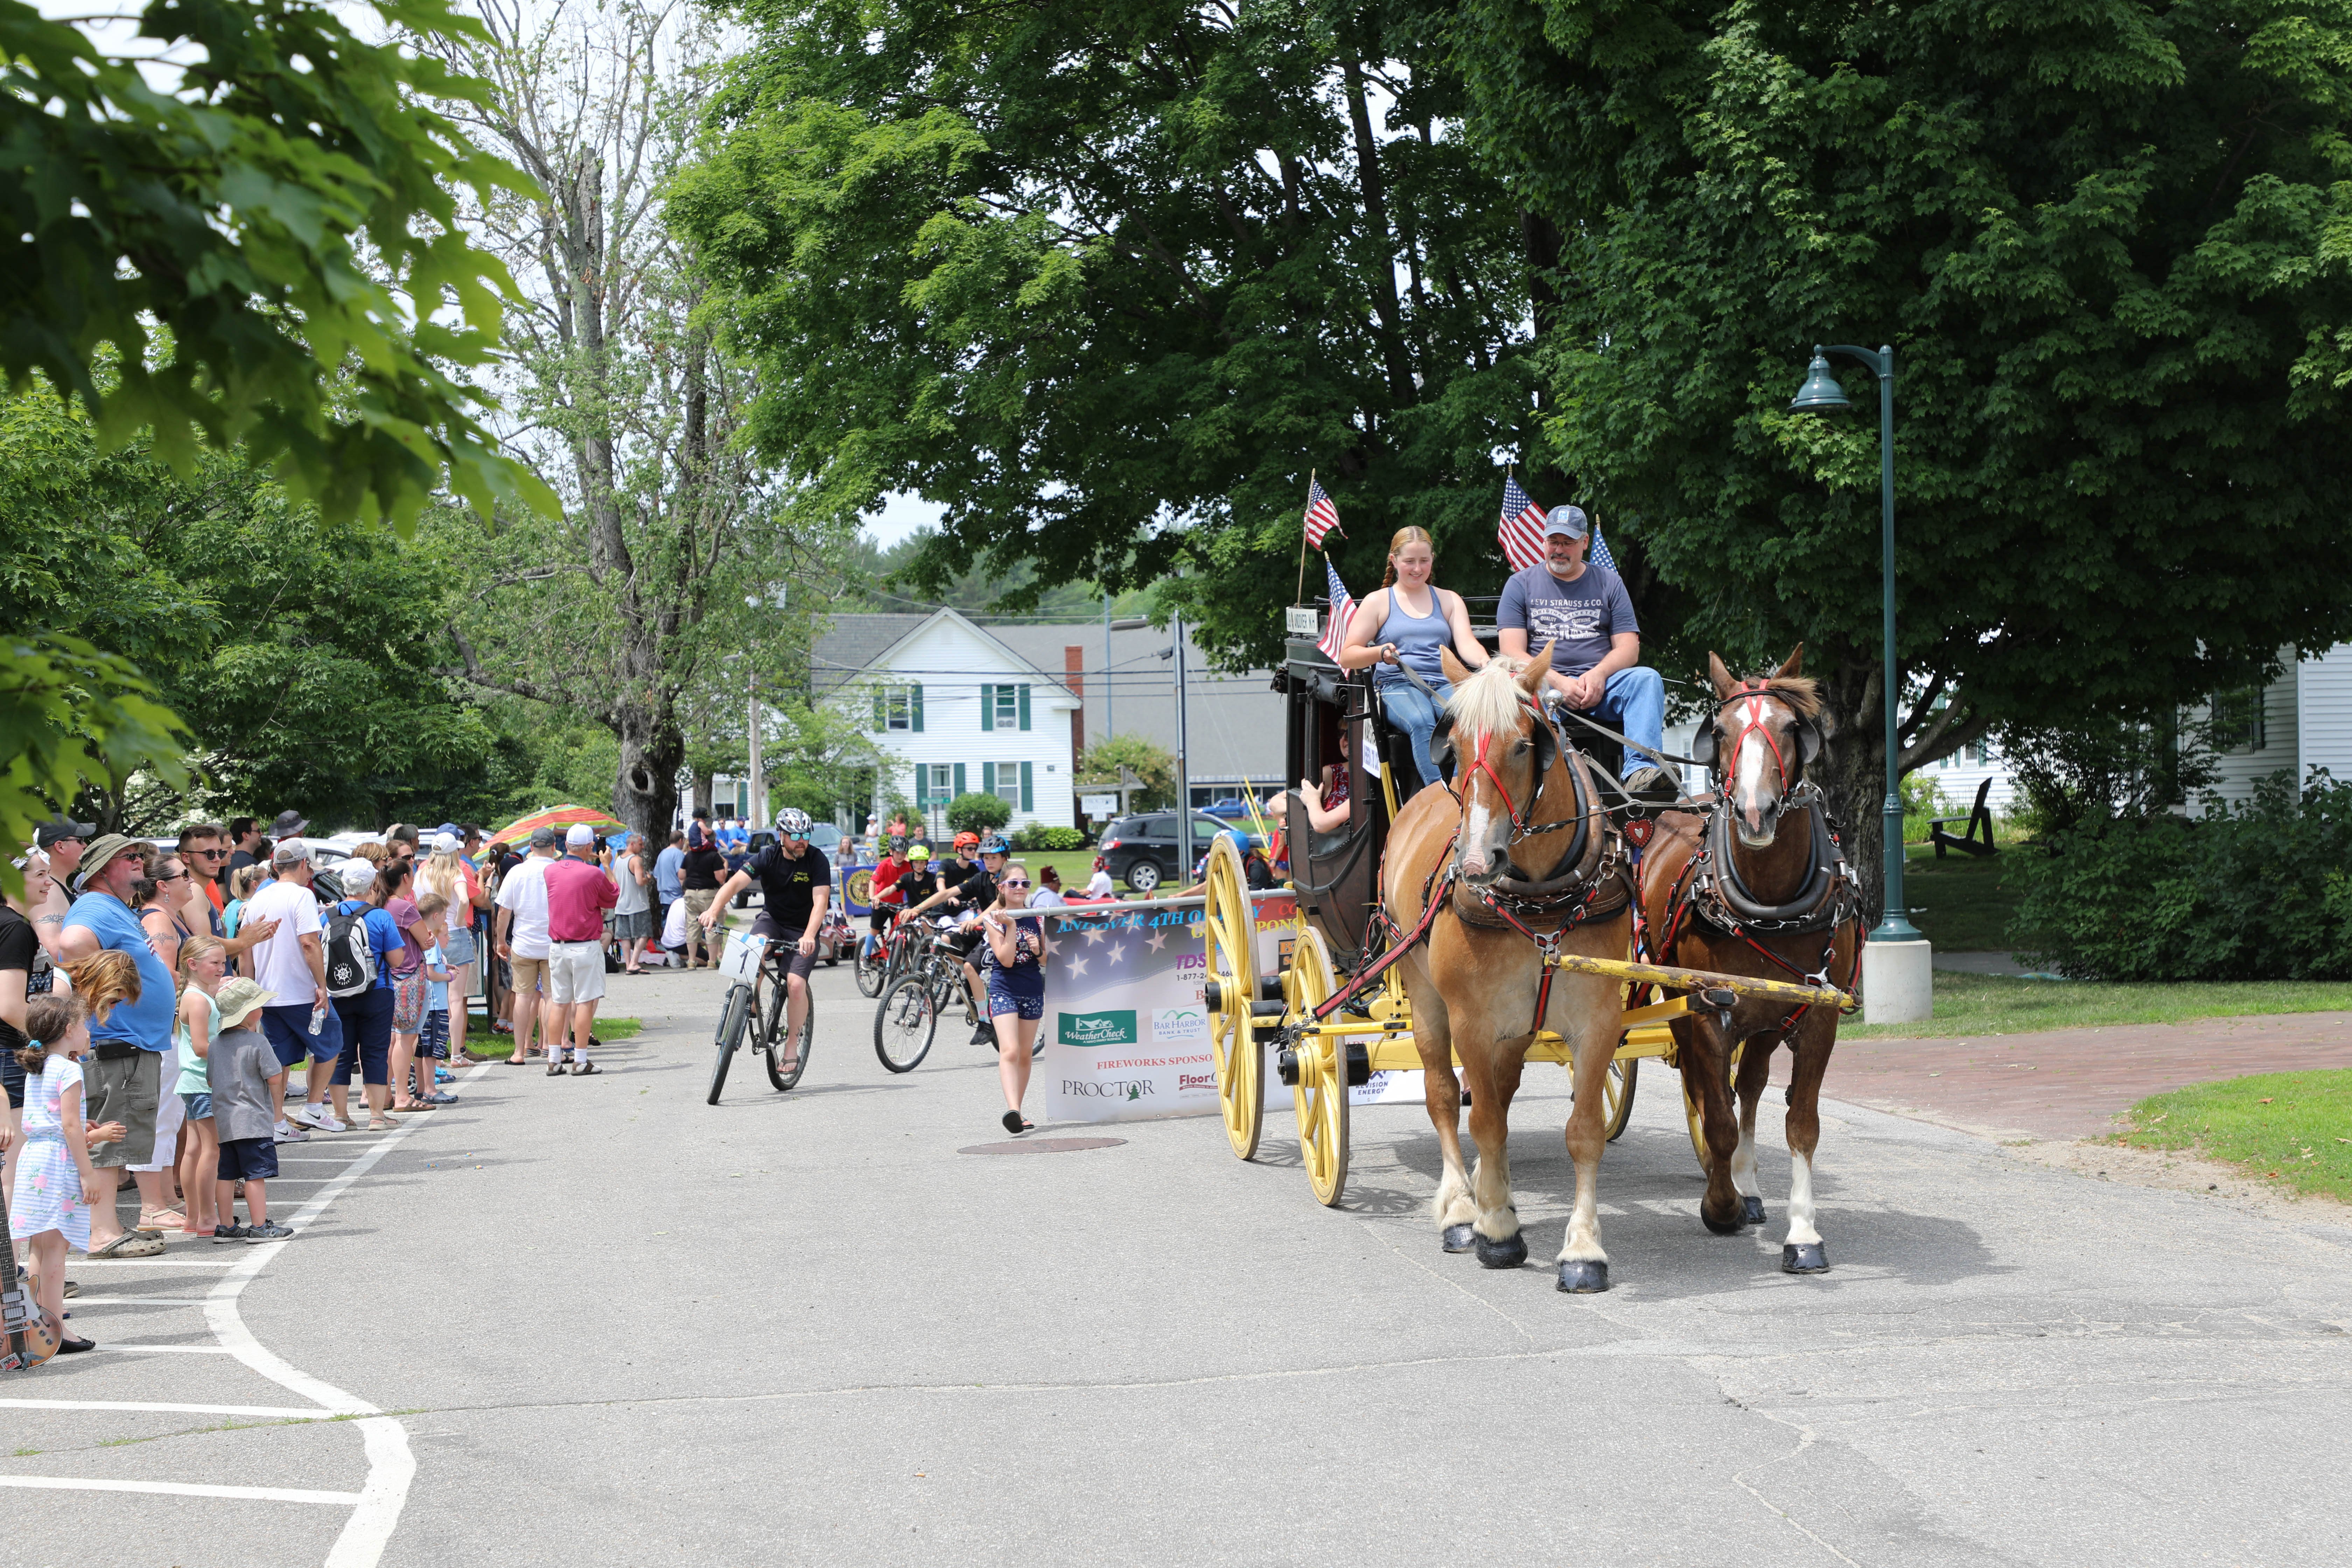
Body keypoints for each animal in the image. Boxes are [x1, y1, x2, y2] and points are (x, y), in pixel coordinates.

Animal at [1373, 644, 1637, 1297]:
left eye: (1524, 746)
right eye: (1455, 746)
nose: (1475, 862)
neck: (1540, 898)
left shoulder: (1597, 1020)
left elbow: (1582, 1130)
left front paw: (1584, 1249)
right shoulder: (1471, 1020)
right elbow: (1485, 1121)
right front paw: (1494, 1227)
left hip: (1519, 1025)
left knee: (1502, 1088)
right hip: (1423, 995)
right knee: (1446, 1097)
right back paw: (1462, 1208)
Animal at [1646, 649, 1863, 1279]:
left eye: (1792, 728)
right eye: (1719, 732)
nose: (1755, 812)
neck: (1770, 900)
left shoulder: (1817, 1017)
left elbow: (1801, 1124)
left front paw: (1804, 1233)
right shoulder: (1706, 1011)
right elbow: (1715, 1119)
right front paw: (1720, 1206)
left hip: (1767, 1018)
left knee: (1752, 1083)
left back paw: (1748, 1183)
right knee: (1710, 1089)